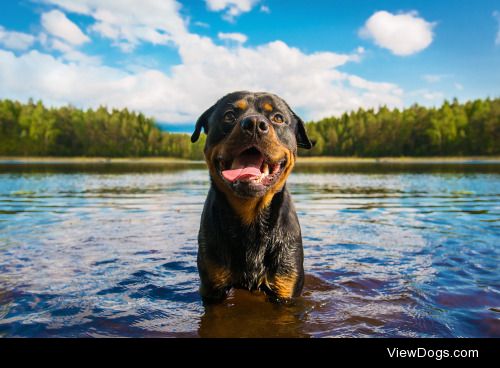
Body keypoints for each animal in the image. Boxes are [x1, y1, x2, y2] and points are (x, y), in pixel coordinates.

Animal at [189, 90, 310, 304]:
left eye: (278, 118)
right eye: (229, 115)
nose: (254, 123)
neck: (250, 217)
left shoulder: (286, 287)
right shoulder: (213, 286)